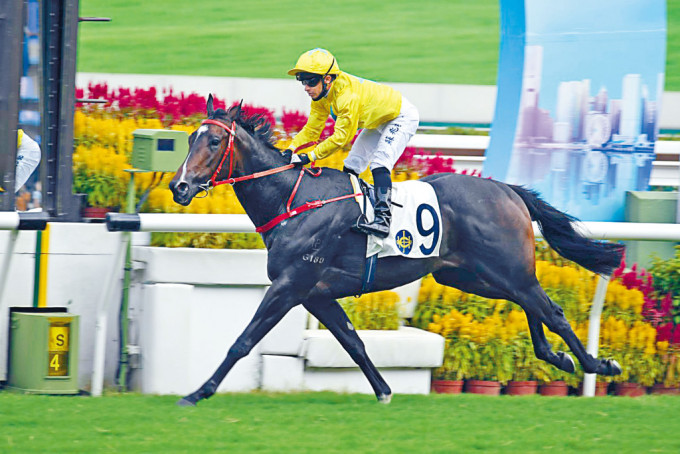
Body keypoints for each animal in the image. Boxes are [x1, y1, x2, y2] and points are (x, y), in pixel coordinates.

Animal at [169, 95, 620, 404]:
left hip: (506, 268)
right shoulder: (315, 293)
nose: (179, 186)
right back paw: (560, 358)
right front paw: (384, 390)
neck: (293, 199)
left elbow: (243, 341)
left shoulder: (291, 285)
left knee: (552, 311)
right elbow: (353, 342)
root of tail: (507, 190)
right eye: (190, 138)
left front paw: (197, 392)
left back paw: (598, 364)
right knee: (532, 307)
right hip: (468, 275)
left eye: (213, 141)